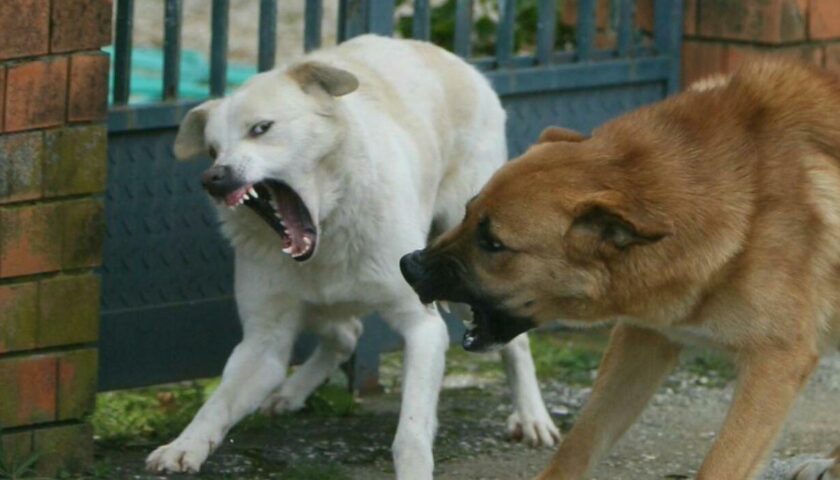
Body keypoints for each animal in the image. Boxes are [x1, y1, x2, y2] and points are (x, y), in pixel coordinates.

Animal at [144, 33, 556, 476]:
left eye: (261, 128)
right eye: (211, 150)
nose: (213, 178)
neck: (329, 230)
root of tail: (445, 55)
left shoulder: (423, 328)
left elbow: (411, 430)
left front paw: (414, 469)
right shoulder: (262, 344)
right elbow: (215, 405)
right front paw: (184, 446)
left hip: (465, 278)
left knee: (514, 343)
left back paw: (532, 417)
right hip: (318, 308)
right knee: (346, 333)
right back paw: (291, 392)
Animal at [400, 58, 840, 478]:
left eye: (493, 243)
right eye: (466, 214)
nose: (409, 266)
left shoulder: (775, 363)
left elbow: (719, 466)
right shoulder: (644, 338)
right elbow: (582, 439)